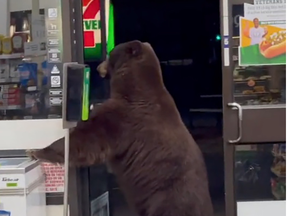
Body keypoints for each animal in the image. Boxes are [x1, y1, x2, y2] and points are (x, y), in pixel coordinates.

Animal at [28, 40, 214, 216]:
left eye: (111, 53)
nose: (98, 66)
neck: (133, 87)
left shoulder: (124, 120)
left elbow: (87, 138)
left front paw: (36, 151)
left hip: (167, 198)